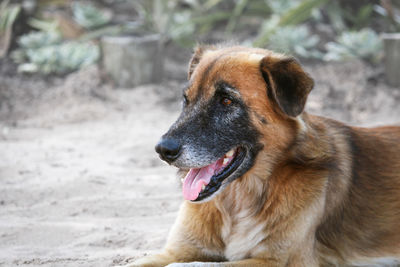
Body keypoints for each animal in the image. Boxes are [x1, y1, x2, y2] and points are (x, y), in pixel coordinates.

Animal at [127, 46, 400, 267]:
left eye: (226, 101)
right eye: (186, 100)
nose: (163, 150)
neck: (235, 204)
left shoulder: (278, 260)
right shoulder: (177, 250)